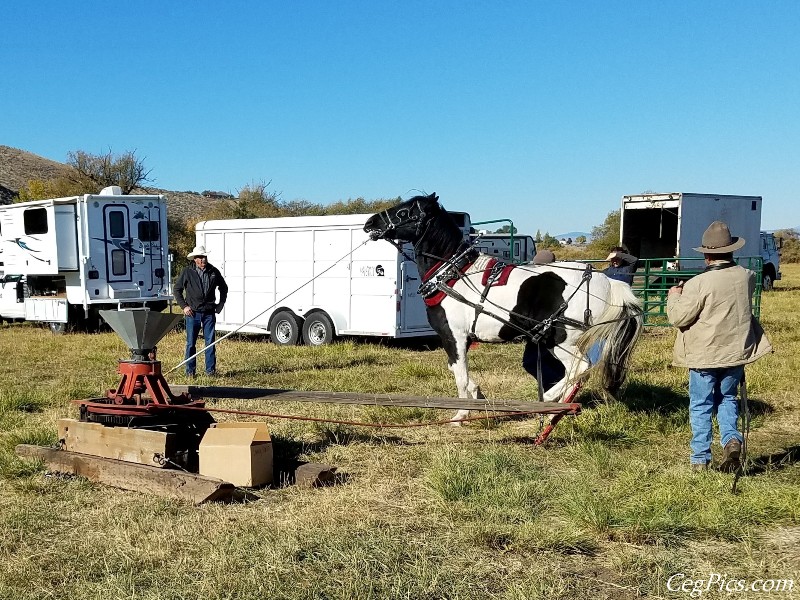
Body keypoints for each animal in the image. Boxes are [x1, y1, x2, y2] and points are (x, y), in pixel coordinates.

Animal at [366, 195, 648, 420]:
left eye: (404, 212)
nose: (370, 223)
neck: (453, 274)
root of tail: (608, 282)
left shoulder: (454, 336)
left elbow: (460, 374)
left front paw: (460, 414)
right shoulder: (458, 339)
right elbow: (458, 370)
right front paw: (477, 396)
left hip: (562, 341)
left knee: (579, 369)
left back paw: (548, 401)